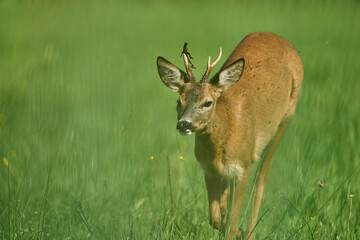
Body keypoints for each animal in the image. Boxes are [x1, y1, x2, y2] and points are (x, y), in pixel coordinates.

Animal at [156, 32, 302, 239]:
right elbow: (215, 218)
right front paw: (226, 221)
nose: (184, 123)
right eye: (179, 101)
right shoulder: (208, 168)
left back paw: (249, 232)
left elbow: (231, 224)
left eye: (207, 102)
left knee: (261, 179)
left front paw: (238, 231)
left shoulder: (242, 167)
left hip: (286, 117)